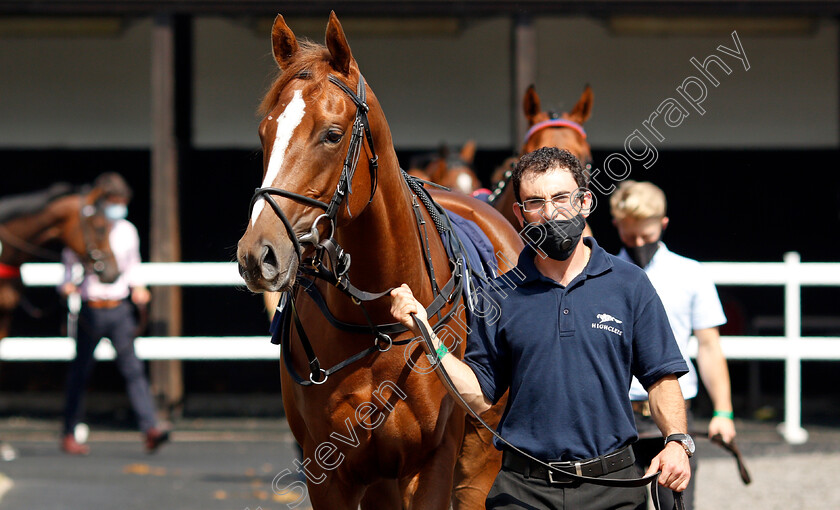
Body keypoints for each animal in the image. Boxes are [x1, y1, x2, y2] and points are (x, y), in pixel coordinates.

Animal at [236, 11, 520, 510]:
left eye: (332, 135)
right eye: (265, 133)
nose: (258, 254)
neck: (376, 322)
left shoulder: (431, 464)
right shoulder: (329, 471)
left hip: (479, 460)